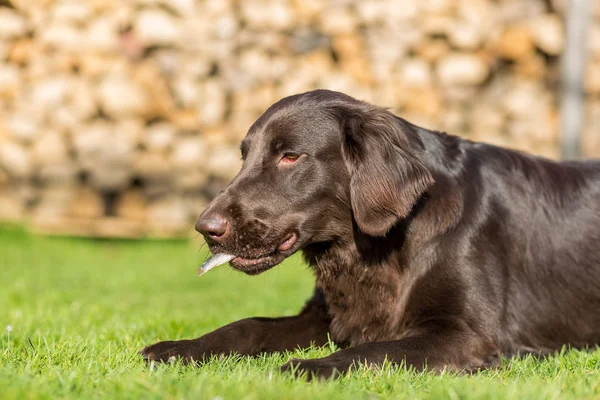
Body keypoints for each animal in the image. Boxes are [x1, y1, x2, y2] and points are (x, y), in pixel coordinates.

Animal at [142, 90, 600, 378]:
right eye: (245, 156)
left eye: (290, 156)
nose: (206, 229)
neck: (378, 247)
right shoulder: (326, 315)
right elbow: (247, 324)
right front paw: (178, 348)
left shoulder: (467, 334)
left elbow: (373, 350)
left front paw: (308, 367)